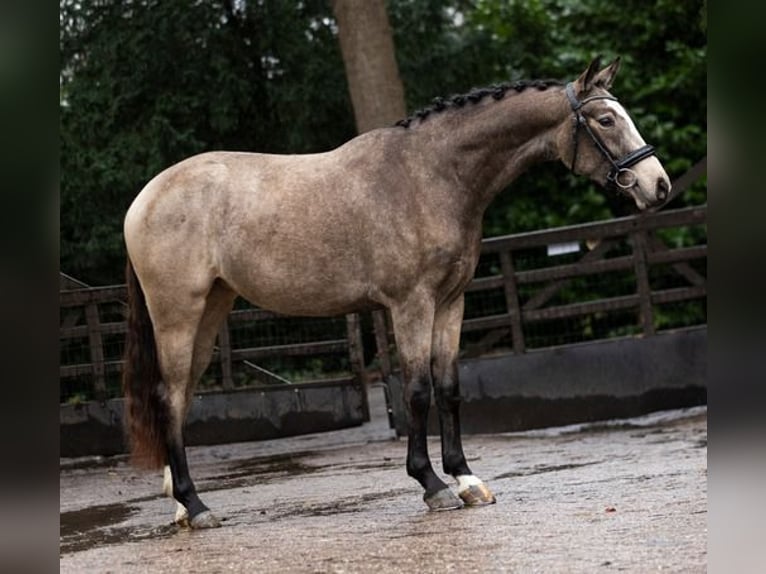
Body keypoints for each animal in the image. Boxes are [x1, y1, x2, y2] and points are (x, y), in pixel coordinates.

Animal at [121, 58, 672, 532]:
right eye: (606, 119)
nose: (658, 186)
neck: (431, 174)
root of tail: (143, 199)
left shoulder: (451, 303)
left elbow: (449, 388)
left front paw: (466, 479)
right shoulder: (412, 305)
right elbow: (417, 390)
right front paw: (431, 484)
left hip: (211, 312)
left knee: (181, 397)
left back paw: (181, 507)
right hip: (178, 315)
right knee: (168, 397)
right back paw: (196, 505)